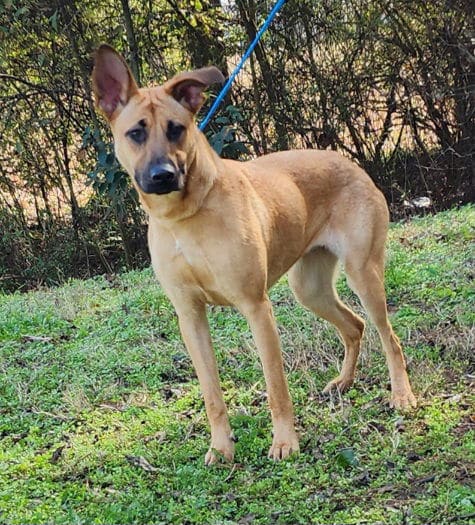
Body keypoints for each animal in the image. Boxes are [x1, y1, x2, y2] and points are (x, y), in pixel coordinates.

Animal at [92, 44, 416, 465]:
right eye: (136, 133)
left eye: (176, 128)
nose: (163, 175)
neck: (185, 218)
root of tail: (350, 163)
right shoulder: (190, 317)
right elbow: (211, 394)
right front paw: (221, 447)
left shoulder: (256, 307)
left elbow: (276, 387)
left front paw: (285, 442)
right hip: (309, 289)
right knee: (354, 326)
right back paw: (344, 382)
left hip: (363, 274)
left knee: (387, 336)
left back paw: (402, 395)